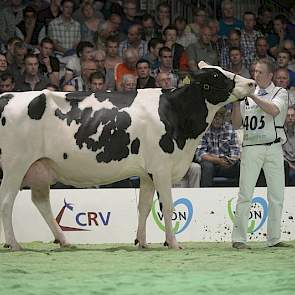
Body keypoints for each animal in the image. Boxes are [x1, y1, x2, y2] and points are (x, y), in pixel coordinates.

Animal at [0, 61, 256, 250]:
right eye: (215, 75)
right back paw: (14, 244)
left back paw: (63, 241)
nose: (252, 82)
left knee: (40, 201)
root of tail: (8, 96)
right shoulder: (162, 168)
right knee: (6, 201)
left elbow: (144, 206)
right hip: (15, 165)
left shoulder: (147, 173)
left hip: (39, 167)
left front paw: (141, 242)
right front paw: (173, 243)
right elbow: (168, 206)